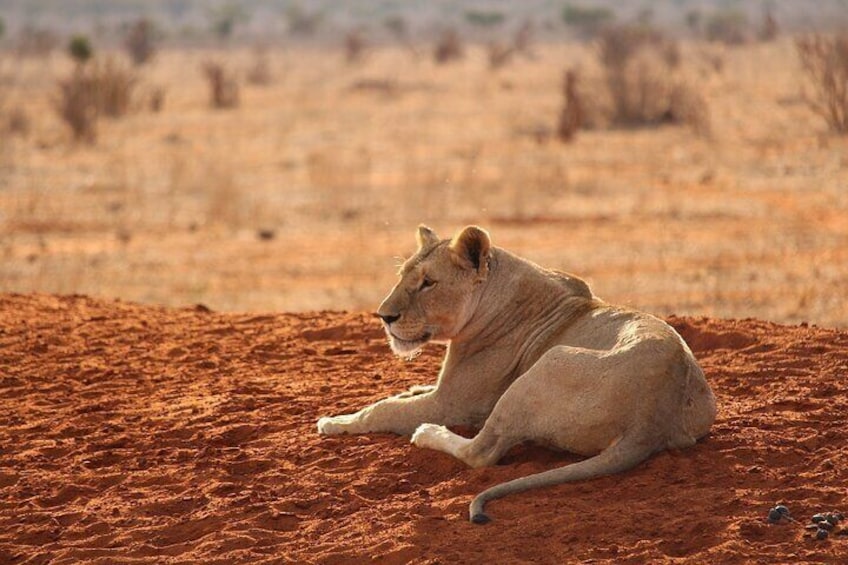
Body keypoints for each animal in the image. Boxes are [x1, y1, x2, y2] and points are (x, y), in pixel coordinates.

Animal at [317, 225, 716, 524]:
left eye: (429, 282)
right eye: (402, 276)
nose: (384, 316)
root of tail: (651, 419)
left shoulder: (453, 404)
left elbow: (382, 409)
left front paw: (335, 422)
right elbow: (403, 394)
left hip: (548, 363)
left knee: (481, 452)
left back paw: (428, 433)